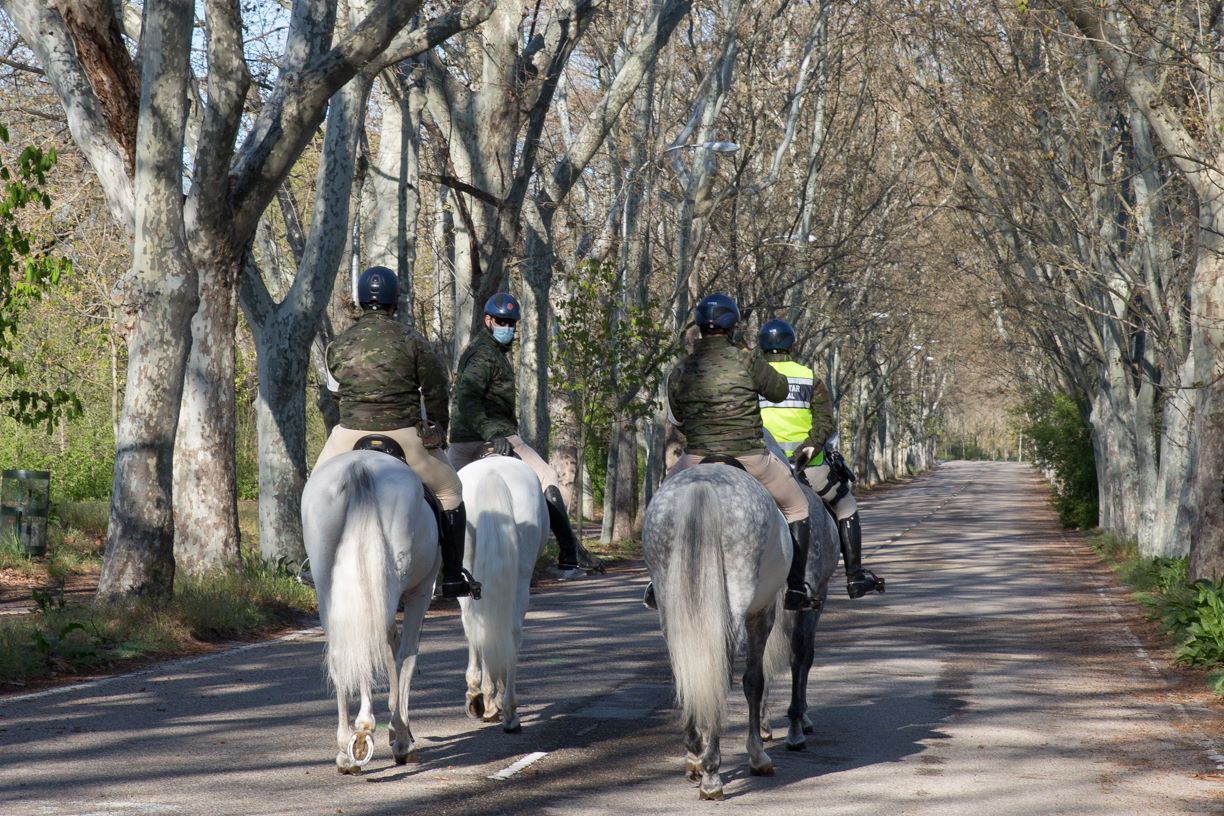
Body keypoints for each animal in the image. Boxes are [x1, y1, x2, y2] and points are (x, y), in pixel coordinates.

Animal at [300, 449, 440, 774]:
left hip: (329, 587)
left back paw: (347, 746)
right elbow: (406, 657)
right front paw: (401, 737)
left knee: (345, 651)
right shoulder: (421, 592)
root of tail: (359, 466)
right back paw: (370, 731)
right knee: (380, 644)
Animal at [455, 454, 548, 733]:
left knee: (476, 624)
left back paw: (486, 699)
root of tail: (492, 473)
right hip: (521, 574)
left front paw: (482, 697)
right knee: (510, 630)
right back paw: (506, 708)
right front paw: (489, 698)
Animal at [642, 463, 791, 800]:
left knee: (686, 671)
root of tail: (702, 484)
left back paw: (696, 758)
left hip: (670, 603)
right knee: (722, 677)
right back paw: (712, 773)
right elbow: (754, 681)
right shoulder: (762, 615)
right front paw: (757, 755)